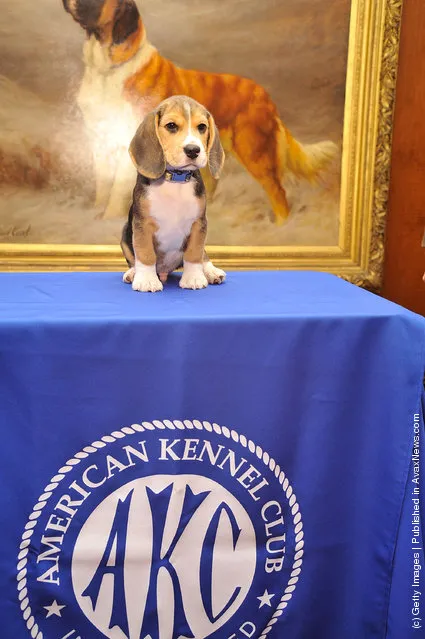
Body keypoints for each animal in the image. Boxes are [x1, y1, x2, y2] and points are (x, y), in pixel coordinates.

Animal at [119, 94, 225, 294]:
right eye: (171, 126)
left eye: (202, 127)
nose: (193, 150)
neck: (176, 179)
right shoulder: (142, 224)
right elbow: (145, 253)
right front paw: (146, 280)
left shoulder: (198, 223)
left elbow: (195, 253)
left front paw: (193, 278)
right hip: (124, 233)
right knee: (134, 259)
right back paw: (133, 273)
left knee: (203, 255)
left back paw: (211, 271)